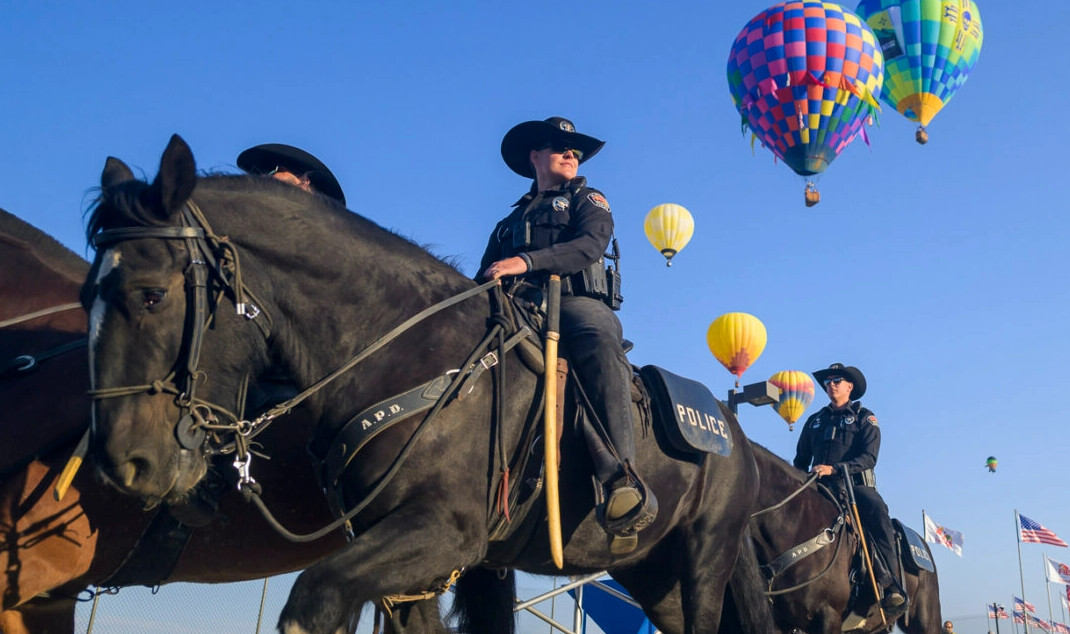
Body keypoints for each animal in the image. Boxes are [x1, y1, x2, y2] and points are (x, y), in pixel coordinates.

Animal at [79, 135, 774, 632]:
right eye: (89, 295)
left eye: (150, 294)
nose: (124, 462)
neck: (403, 352)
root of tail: (737, 439)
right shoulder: (404, 554)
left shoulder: (444, 531)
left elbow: (313, 598)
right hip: (652, 574)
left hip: (702, 559)